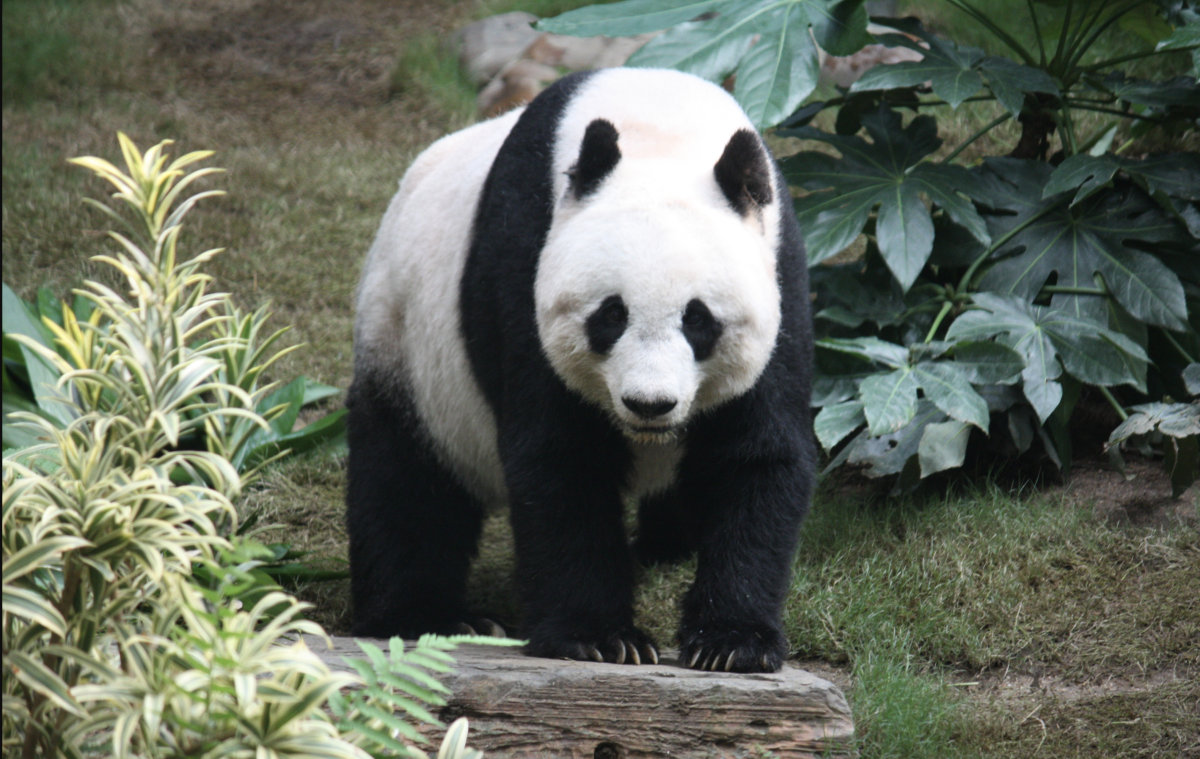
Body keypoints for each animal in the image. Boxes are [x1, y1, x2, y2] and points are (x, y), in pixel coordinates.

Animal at [347, 68, 815, 673]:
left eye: (698, 320)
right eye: (611, 315)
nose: (649, 404)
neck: (659, 126)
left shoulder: (781, 276)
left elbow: (754, 457)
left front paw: (731, 642)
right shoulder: (523, 260)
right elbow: (562, 459)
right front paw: (601, 639)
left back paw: (665, 547)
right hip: (407, 341)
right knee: (406, 480)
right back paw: (428, 616)